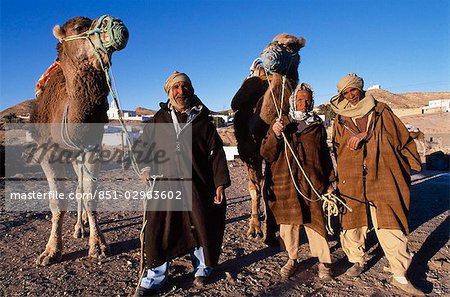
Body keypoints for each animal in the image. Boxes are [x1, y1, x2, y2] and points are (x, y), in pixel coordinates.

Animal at [29, 15, 128, 264]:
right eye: (78, 28)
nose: (117, 23)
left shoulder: (92, 148)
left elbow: (90, 194)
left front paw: (98, 245)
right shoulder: (46, 151)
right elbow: (57, 201)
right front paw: (50, 251)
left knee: (81, 188)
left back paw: (81, 226)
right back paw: (78, 228)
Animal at [232, 33, 306, 240]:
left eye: (292, 44)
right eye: (270, 42)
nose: (269, 55)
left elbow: (267, 188)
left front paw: (270, 226)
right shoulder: (248, 153)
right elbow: (254, 189)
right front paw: (254, 228)